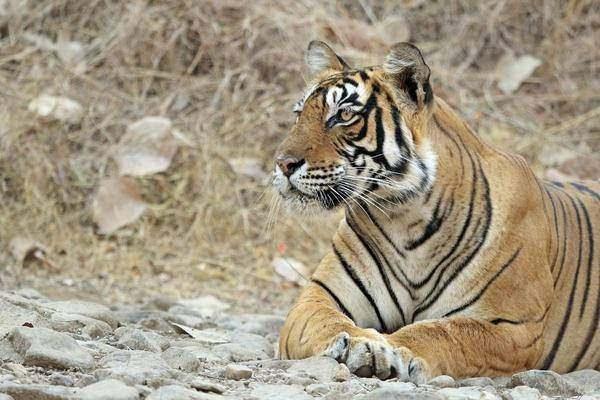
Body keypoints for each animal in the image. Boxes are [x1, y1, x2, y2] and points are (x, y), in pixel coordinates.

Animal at [274, 39, 600, 382]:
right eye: (299, 114)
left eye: (344, 114)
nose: (282, 163)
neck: (404, 217)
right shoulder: (317, 297)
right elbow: (325, 322)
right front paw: (361, 343)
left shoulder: (514, 327)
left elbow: (443, 333)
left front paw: (394, 348)